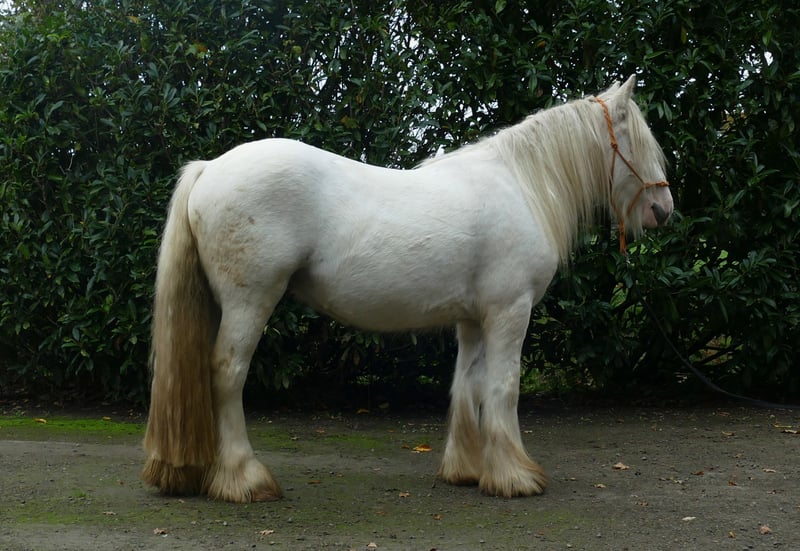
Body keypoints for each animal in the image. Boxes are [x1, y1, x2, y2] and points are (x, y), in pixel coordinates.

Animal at [142, 76, 673, 503]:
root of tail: (210, 168)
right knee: (227, 374)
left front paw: (468, 470)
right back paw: (244, 479)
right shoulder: (509, 312)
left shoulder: (473, 320)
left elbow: (468, 386)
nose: (663, 210)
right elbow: (504, 387)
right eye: (638, 142)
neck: (521, 184)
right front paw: (515, 477)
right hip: (249, 301)